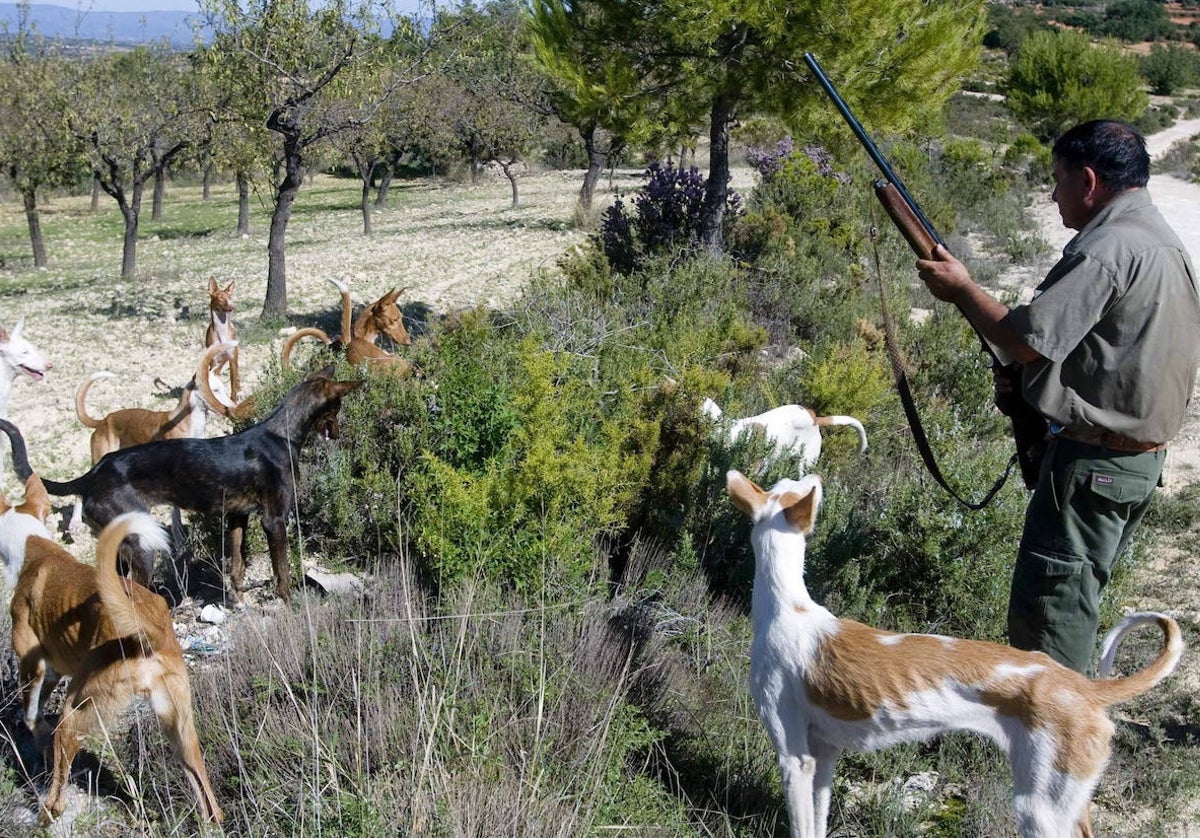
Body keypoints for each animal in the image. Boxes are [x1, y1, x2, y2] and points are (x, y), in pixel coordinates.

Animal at [0, 367, 360, 604]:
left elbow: (237, 568)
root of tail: (92, 474)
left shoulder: (237, 517)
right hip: (141, 545)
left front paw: (240, 603)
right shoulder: (274, 520)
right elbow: (282, 572)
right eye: (338, 406)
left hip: (120, 548)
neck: (281, 432)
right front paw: (290, 606)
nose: (340, 432)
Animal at [8, 508, 223, 825]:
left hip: (74, 710)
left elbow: (32, 715)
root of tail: (149, 633)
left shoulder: (33, 666)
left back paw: (46, 815)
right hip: (180, 728)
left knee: (60, 783)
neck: (32, 543)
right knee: (207, 793)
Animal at [724, 470, 1185, 835]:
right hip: (1069, 799)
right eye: (788, 482)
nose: (816, 473)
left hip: (1041, 807)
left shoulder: (794, 759)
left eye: (803, 486)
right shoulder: (824, 755)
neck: (786, 607)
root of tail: (1083, 688)